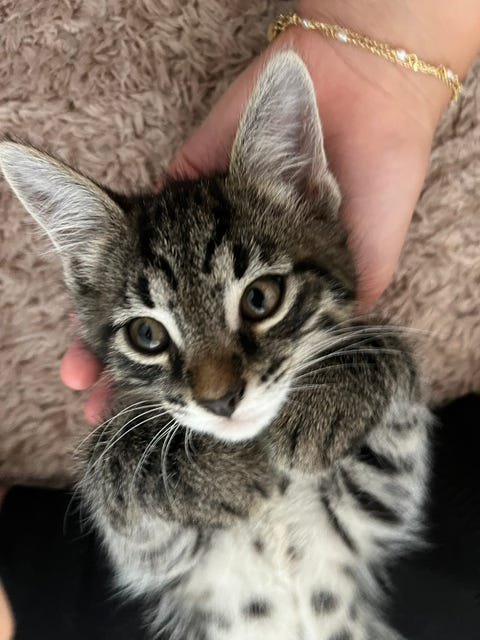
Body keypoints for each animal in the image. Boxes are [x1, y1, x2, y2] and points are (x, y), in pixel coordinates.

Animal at [0, 50, 431, 640]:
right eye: (148, 335)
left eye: (260, 299)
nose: (221, 400)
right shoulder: (156, 554)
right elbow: (108, 457)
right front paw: (218, 474)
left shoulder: (377, 505)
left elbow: (388, 348)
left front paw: (326, 401)